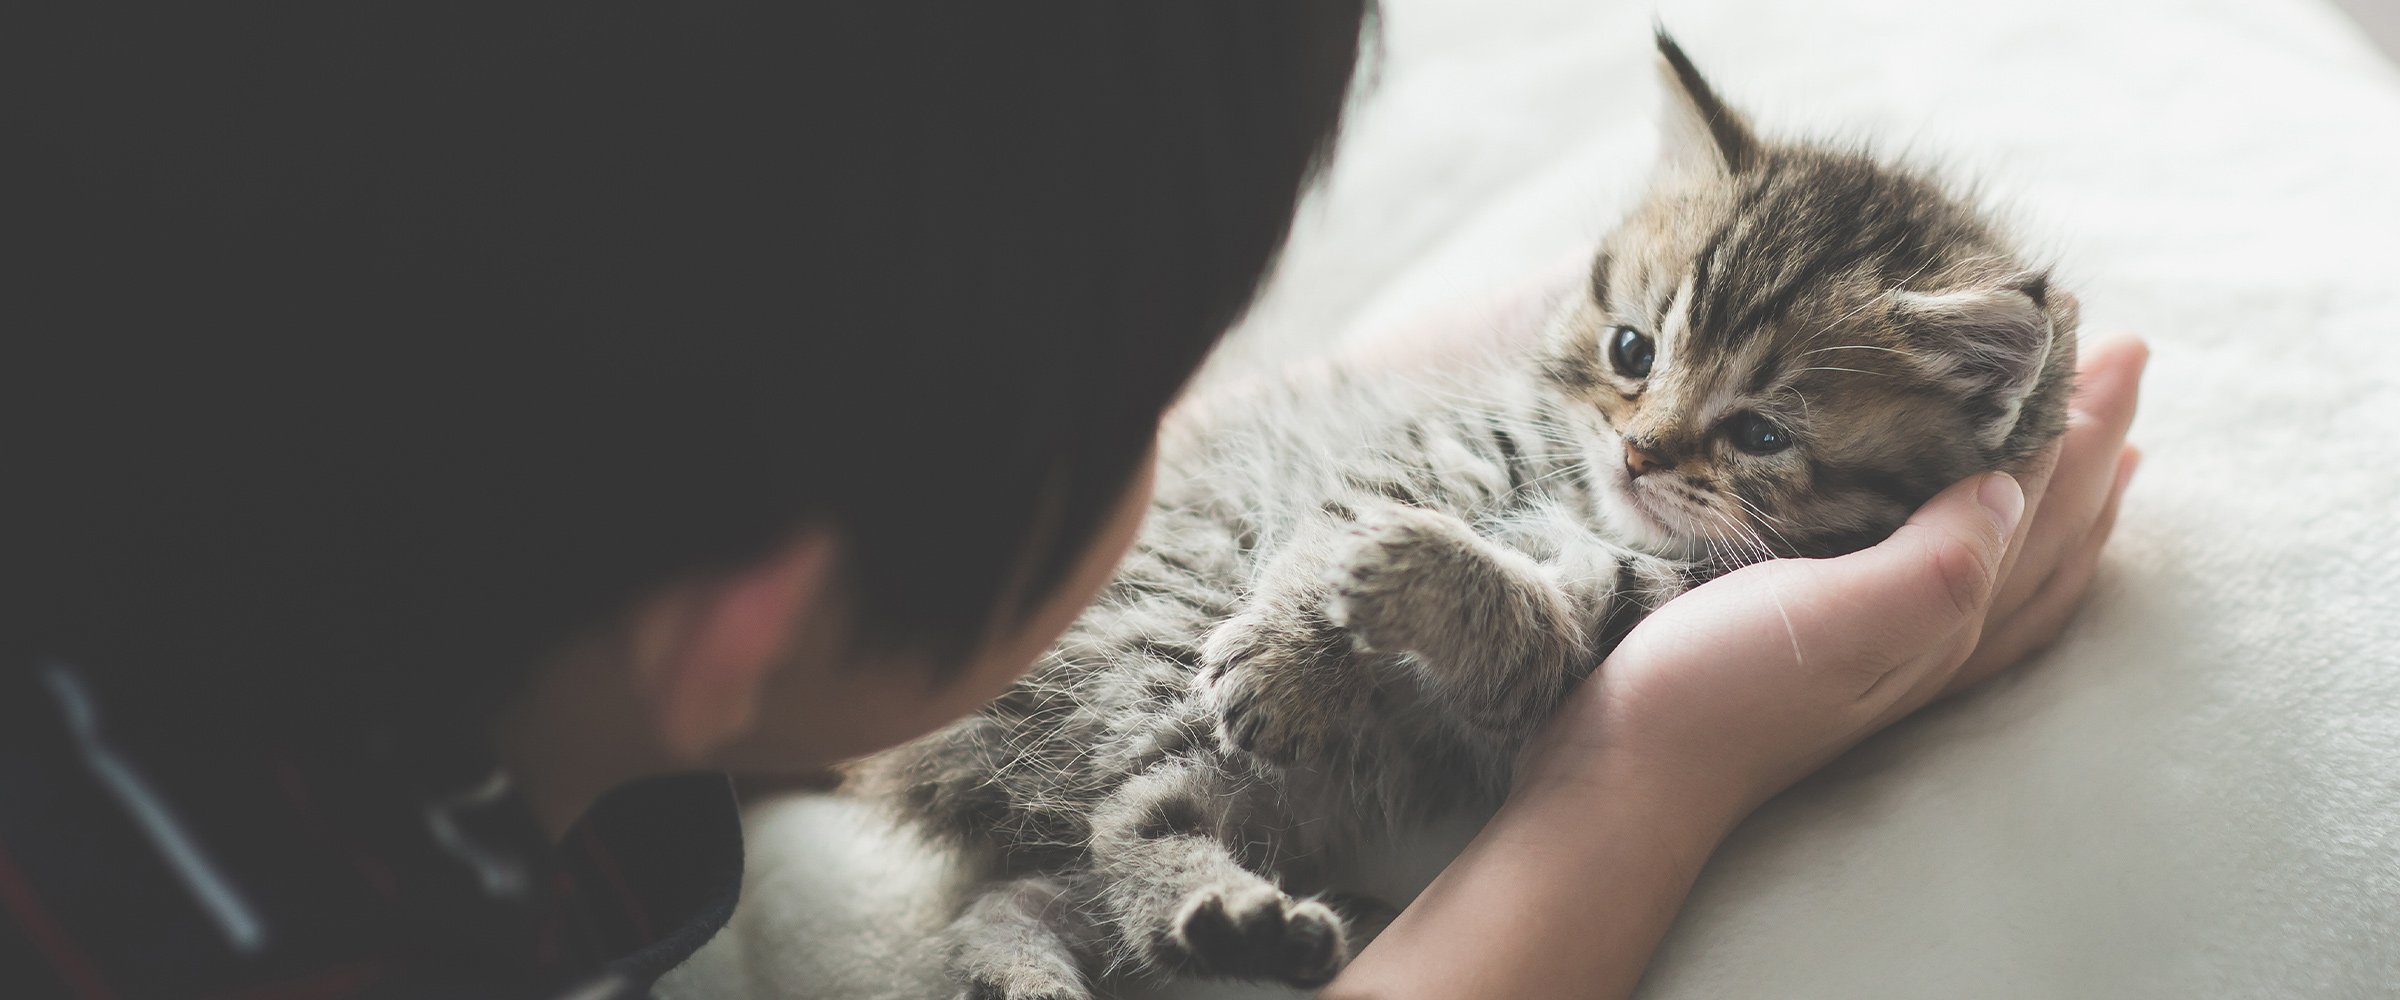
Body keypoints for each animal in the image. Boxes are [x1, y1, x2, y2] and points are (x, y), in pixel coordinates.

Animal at [854, 33, 2073, 997]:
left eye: (1761, 436)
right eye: (1633, 350)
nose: (1639, 451)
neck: (1585, 500)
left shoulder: (1609, 630)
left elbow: (1527, 622)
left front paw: (1407, 572)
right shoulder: (1405, 449)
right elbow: (1333, 527)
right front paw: (1296, 636)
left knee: (1082, 857)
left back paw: (1210, 929)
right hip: (1156, 640)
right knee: (1115, 825)